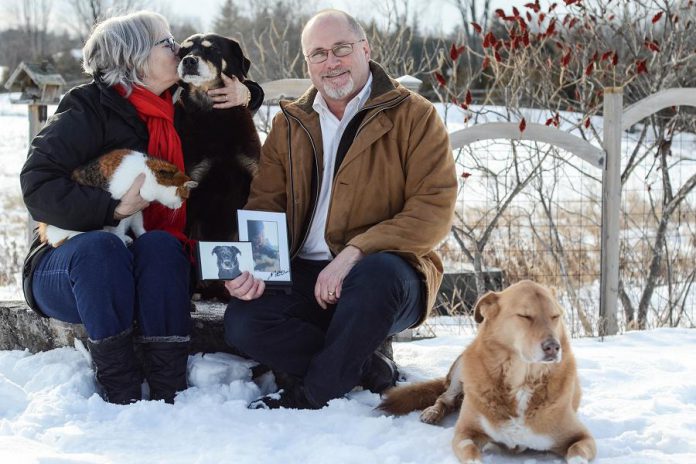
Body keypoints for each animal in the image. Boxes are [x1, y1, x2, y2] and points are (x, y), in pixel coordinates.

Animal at [38, 150, 197, 248]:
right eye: (184, 198)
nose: (179, 207)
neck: (146, 175)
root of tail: (46, 233)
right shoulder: (120, 211)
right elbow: (118, 231)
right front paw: (121, 242)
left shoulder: (136, 212)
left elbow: (138, 227)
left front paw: (143, 235)